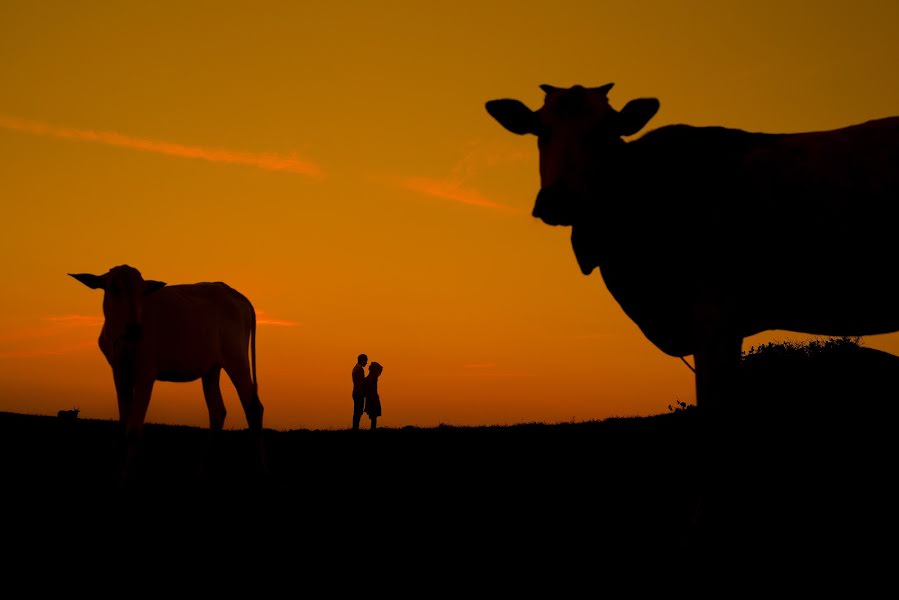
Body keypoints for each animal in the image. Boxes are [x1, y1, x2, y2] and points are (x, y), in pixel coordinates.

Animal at [68, 264, 266, 478]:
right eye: (114, 288)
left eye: (143, 291)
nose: (135, 329)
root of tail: (235, 294)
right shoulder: (120, 373)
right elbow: (124, 424)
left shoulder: (146, 373)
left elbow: (134, 429)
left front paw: (127, 474)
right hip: (212, 369)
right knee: (217, 411)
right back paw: (201, 471)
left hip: (236, 360)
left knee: (253, 408)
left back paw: (261, 469)